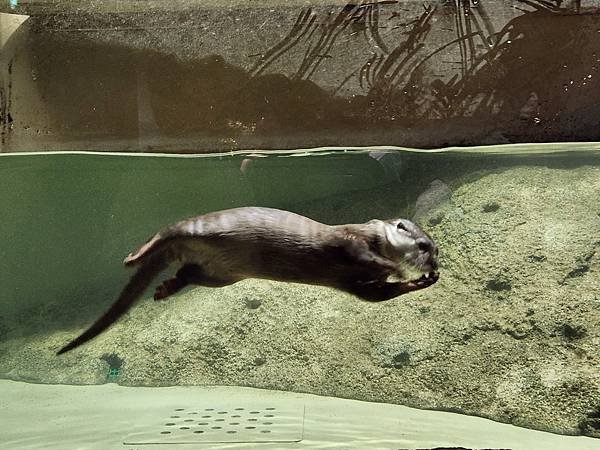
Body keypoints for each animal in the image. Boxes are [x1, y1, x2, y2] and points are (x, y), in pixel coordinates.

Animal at [56, 207, 438, 356]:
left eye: (435, 250)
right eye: (423, 245)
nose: (434, 262)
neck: (374, 236)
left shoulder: (355, 284)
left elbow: (376, 296)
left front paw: (423, 281)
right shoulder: (349, 241)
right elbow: (365, 258)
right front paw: (394, 265)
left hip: (221, 275)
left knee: (188, 273)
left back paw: (165, 289)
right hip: (198, 227)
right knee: (165, 232)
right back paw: (132, 257)